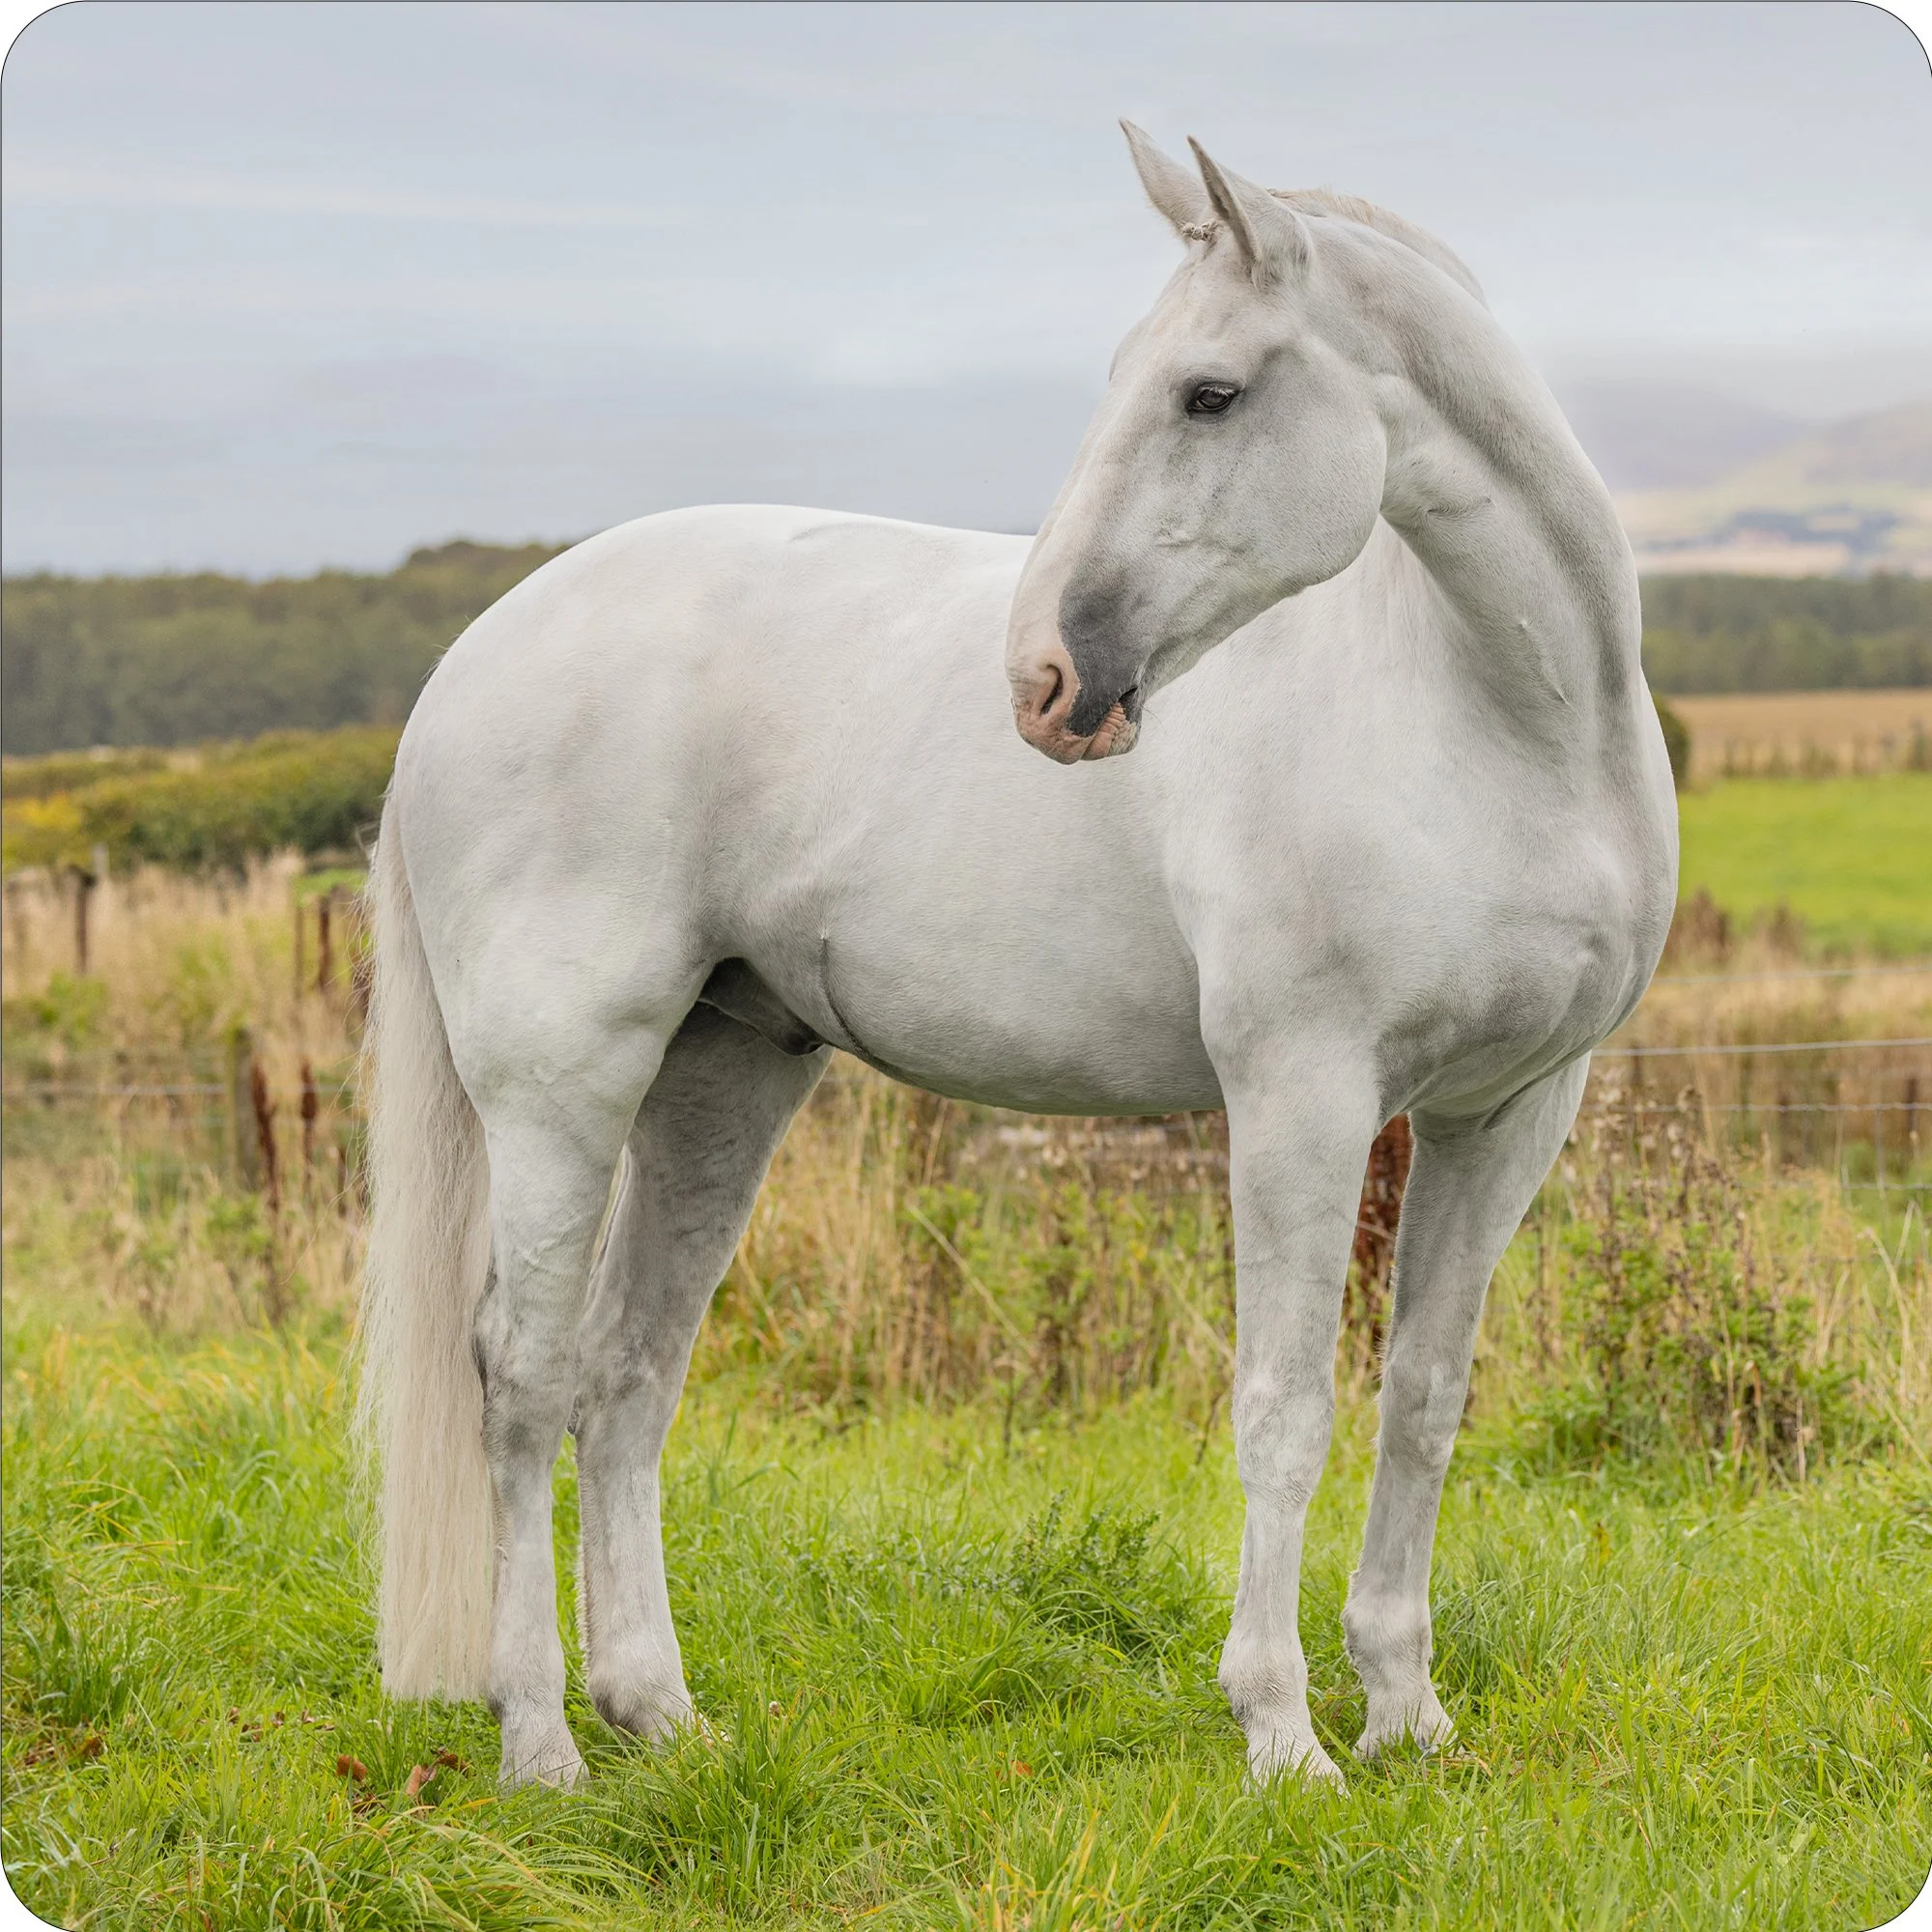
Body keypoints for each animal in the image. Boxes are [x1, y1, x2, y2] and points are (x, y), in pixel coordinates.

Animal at [357, 124, 1678, 1791]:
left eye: (1208, 393)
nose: (1048, 681)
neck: (1499, 727)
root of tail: (469, 663)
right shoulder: (1301, 1100)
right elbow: (1285, 1409)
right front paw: (1283, 1734)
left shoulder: (1505, 1114)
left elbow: (1424, 1402)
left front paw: (1407, 1716)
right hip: (562, 1090)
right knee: (521, 1380)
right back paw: (541, 1744)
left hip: (722, 1079)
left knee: (628, 1370)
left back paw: (662, 1713)